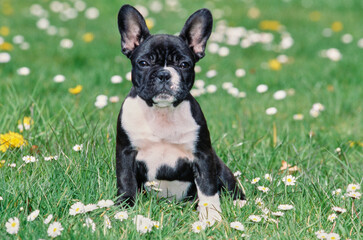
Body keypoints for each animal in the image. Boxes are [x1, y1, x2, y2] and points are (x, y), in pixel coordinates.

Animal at [116, 4, 246, 221]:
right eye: (143, 63)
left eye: (184, 65)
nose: (164, 74)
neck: (162, 113)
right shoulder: (126, 153)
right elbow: (126, 181)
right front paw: (123, 209)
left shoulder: (203, 156)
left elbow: (208, 187)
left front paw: (211, 217)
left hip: (220, 165)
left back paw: (239, 203)